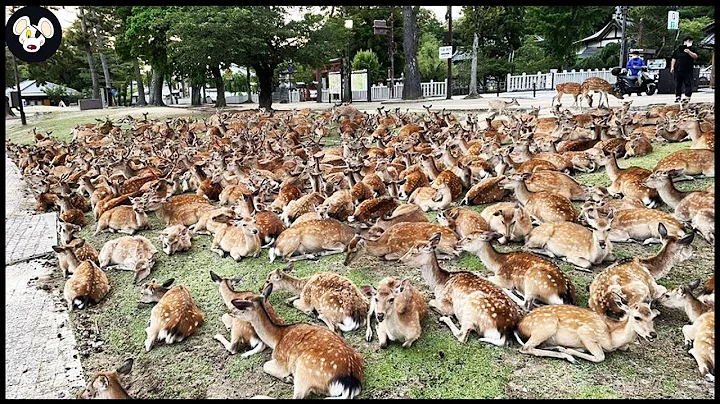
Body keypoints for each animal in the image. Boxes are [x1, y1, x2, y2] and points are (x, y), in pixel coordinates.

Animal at [228, 293, 365, 399]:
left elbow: (265, 365)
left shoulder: (281, 361)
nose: (230, 312)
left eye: (241, 307)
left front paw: (287, 377)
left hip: (303, 370)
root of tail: (350, 384)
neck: (276, 339)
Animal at [515, 290, 658, 364]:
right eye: (637, 317)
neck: (613, 339)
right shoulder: (586, 332)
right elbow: (600, 357)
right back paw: (569, 356)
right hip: (547, 325)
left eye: (653, 317)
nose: (653, 334)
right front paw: (569, 351)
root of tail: (520, 325)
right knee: (526, 348)